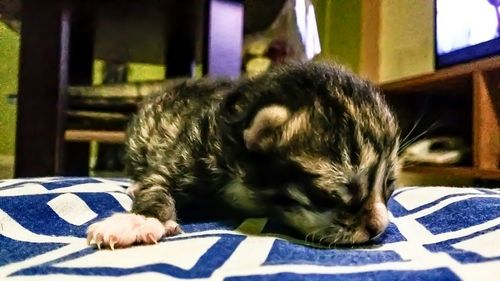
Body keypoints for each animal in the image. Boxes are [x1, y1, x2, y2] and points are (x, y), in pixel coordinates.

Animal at [85, 61, 398, 247]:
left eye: (389, 187)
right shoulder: (188, 152)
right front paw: (139, 220)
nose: (378, 228)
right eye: (335, 195)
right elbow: (157, 185)